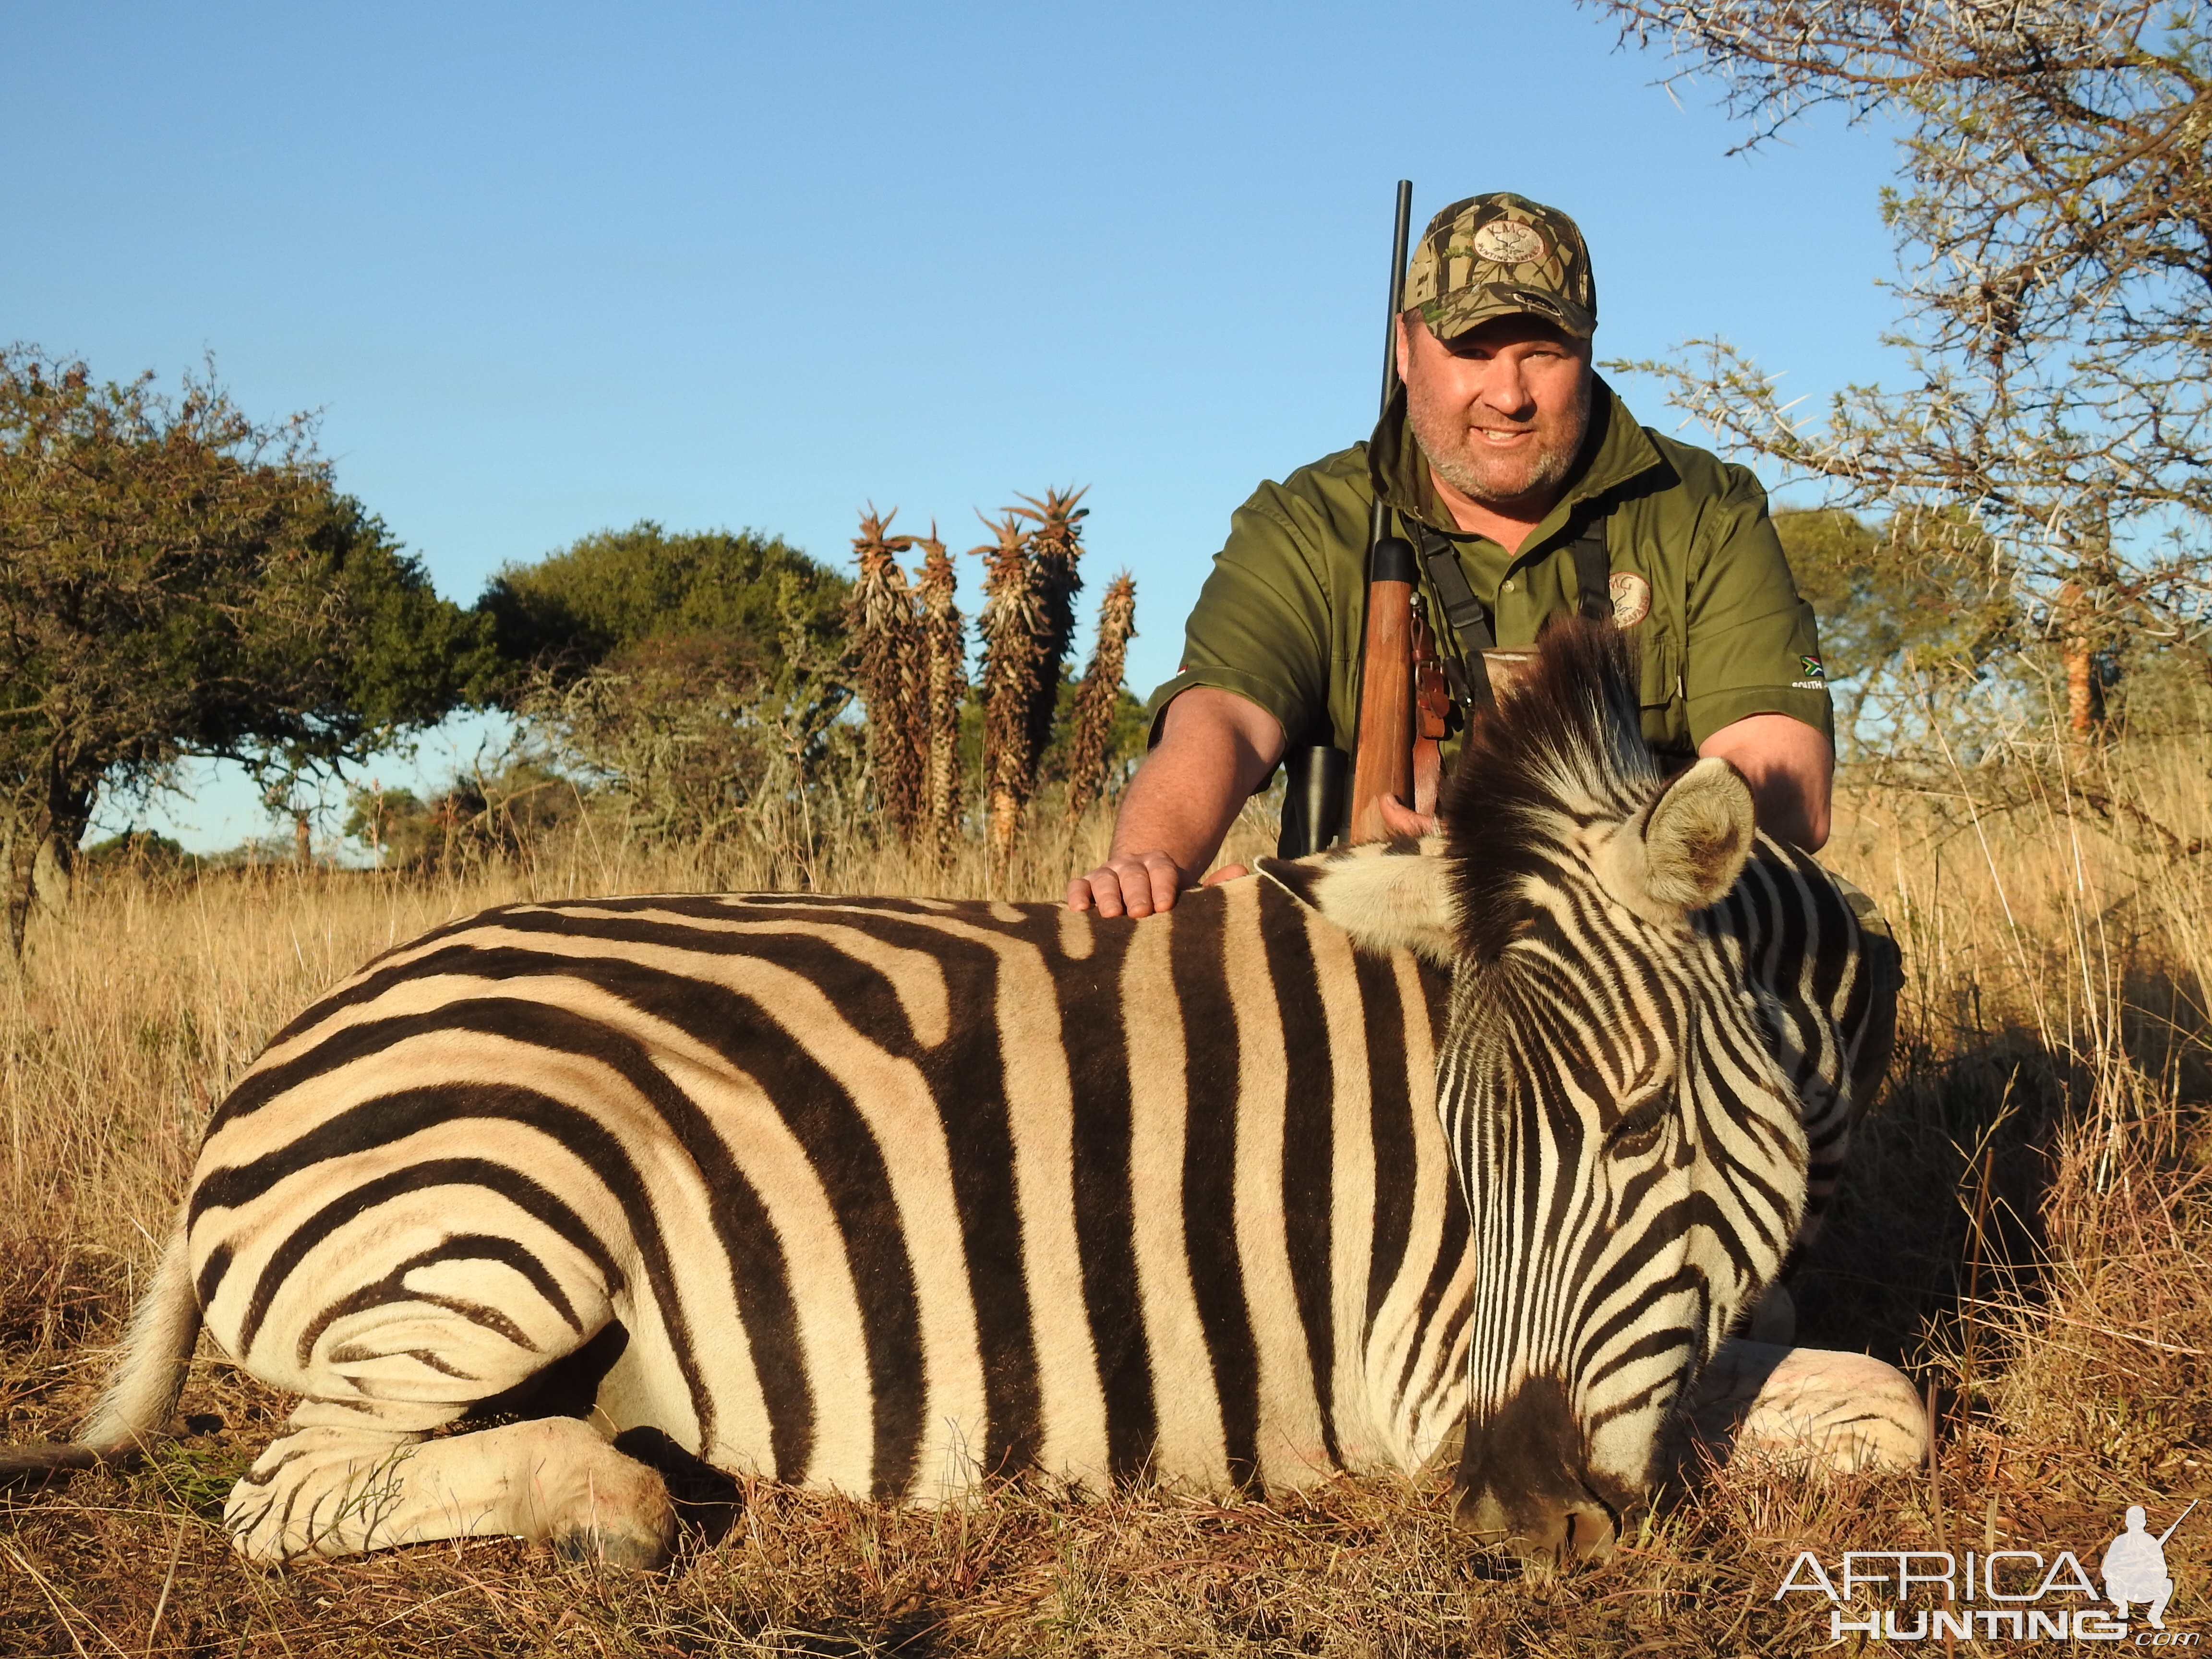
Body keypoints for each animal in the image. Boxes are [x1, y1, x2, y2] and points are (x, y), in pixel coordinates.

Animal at [0, 624, 1920, 1575]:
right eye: (1457, 1158)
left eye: (1640, 1129)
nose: (1517, 1515)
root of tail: (275, 1057)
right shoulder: (1418, 1365)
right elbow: (1883, 1409)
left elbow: (1841, 1392)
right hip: (493, 1227)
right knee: (280, 1500)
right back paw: (613, 1507)